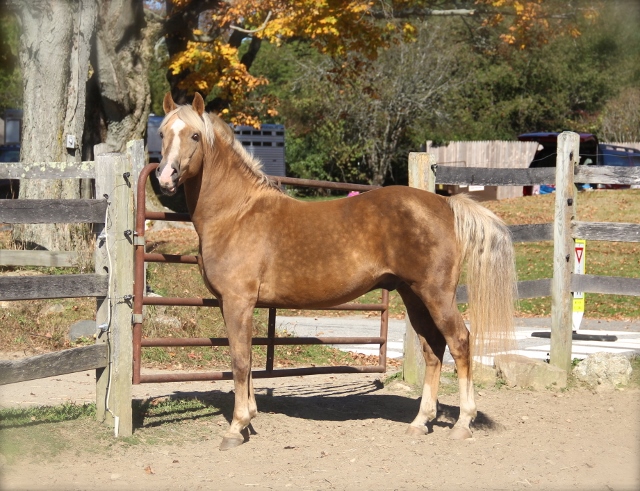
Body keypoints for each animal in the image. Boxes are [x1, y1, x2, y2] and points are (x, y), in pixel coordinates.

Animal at [158, 92, 516, 450]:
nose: (165, 177)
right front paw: (249, 418)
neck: (237, 212)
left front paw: (237, 427)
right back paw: (420, 422)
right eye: (162, 133)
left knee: (459, 342)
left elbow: (240, 360)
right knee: (433, 349)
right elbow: (245, 359)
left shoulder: (237, 302)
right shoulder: (231, 304)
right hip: (413, 296)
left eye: (194, 135)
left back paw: (463, 423)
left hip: (436, 295)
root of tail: (445, 205)